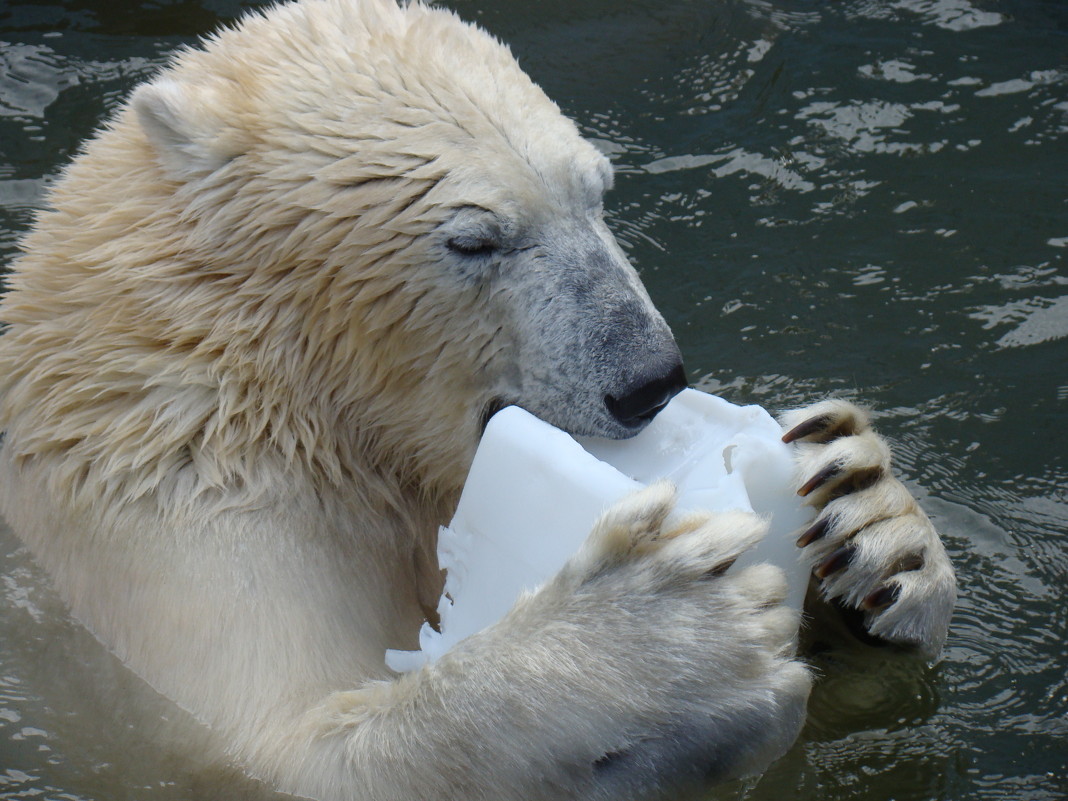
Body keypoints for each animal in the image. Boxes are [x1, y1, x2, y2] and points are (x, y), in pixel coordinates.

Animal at [0, 1, 952, 801]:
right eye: (474, 239)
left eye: (597, 192)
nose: (650, 377)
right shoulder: (175, 509)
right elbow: (287, 749)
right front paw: (658, 635)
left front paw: (868, 518)